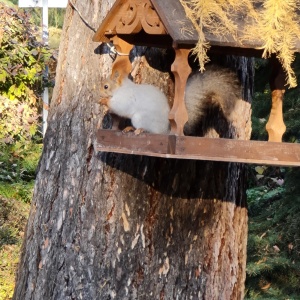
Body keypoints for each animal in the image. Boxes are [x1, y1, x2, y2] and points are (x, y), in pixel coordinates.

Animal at [99, 66, 243, 136]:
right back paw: (129, 128)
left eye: (106, 86)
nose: (98, 92)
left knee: (150, 130)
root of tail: (166, 131)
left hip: (140, 119)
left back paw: (140, 130)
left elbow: (121, 107)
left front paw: (104, 101)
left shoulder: (126, 98)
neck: (120, 88)